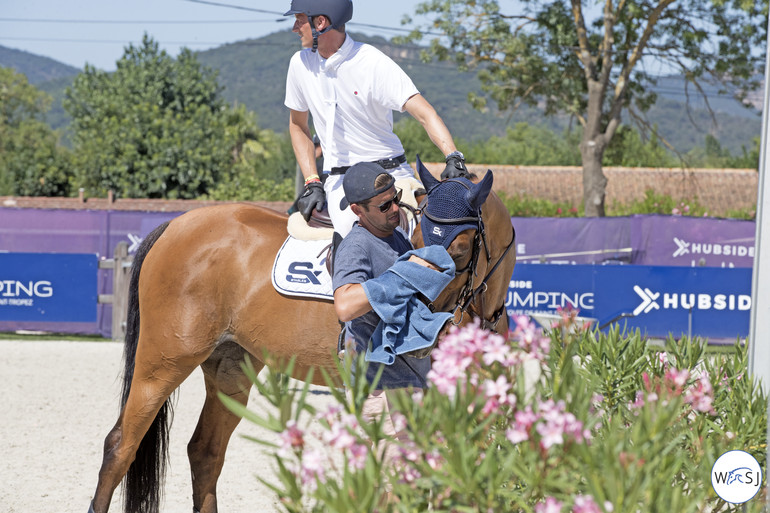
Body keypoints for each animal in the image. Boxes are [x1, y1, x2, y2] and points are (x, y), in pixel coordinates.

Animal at [85, 163, 516, 512]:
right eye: (420, 241)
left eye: (460, 250)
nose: (423, 330)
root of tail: (175, 225)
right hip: (163, 364)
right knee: (121, 445)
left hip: (231, 369)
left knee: (205, 452)